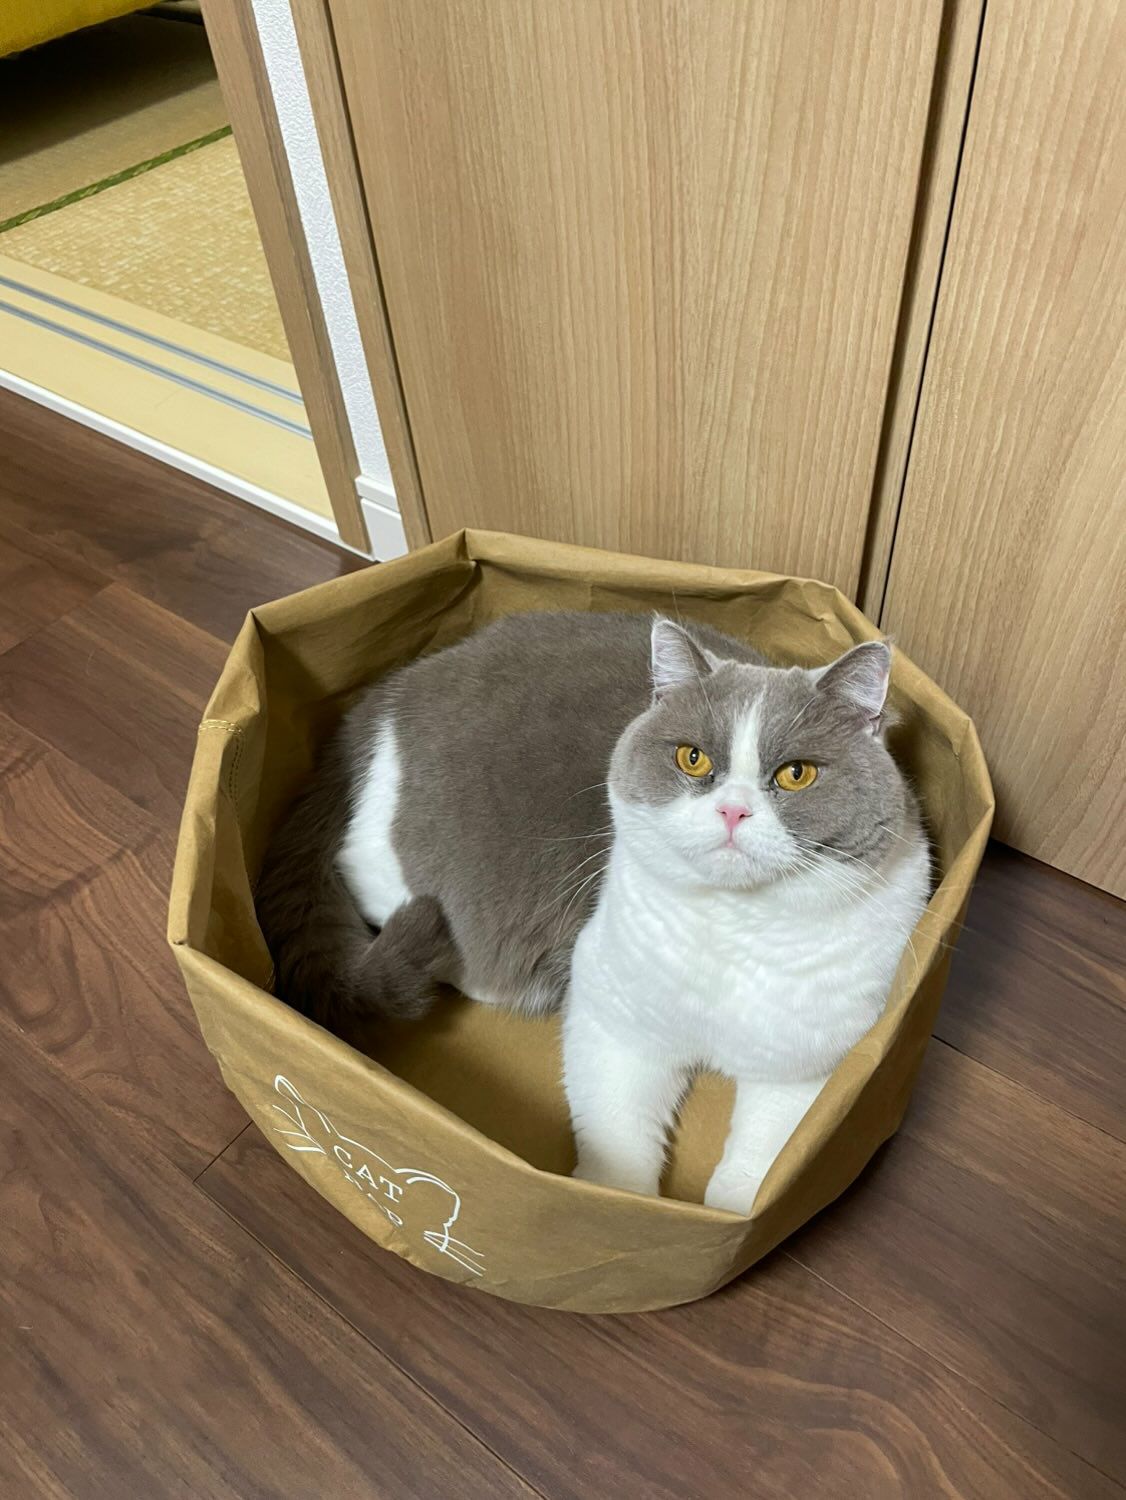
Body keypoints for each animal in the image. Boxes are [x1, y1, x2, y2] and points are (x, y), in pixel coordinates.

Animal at [256, 611, 930, 1216]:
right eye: (691, 759)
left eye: (795, 774)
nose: (733, 810)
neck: (730, 931)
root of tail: (387, 697)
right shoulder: (614, 1016)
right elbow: (618, 1136)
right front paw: (621, 1211)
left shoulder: (811, 1066)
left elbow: (765, 1164)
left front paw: (736, 1211)